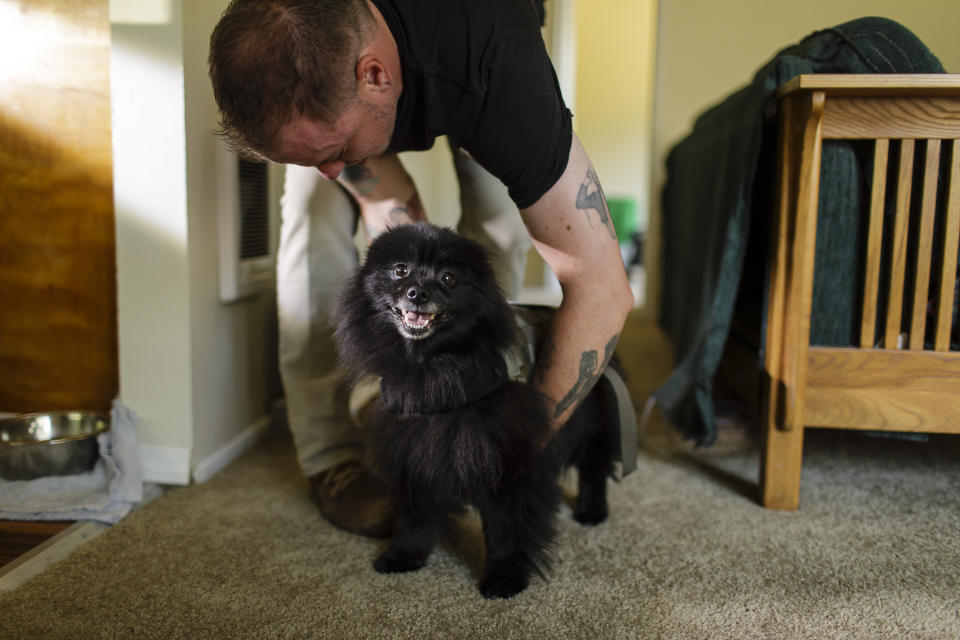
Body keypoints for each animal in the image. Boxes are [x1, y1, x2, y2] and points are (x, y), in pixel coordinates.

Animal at [334, 222, 620, 596]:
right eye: (400, 270)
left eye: (448, 278)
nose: (417, 293)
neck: (433, 368)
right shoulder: (413, 446)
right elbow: (414, 515)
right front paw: (404, 555)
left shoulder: (509, 454)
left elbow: (507, 525)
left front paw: (505, 576)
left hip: (592, 419)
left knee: (594, 467)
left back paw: (592, 510)